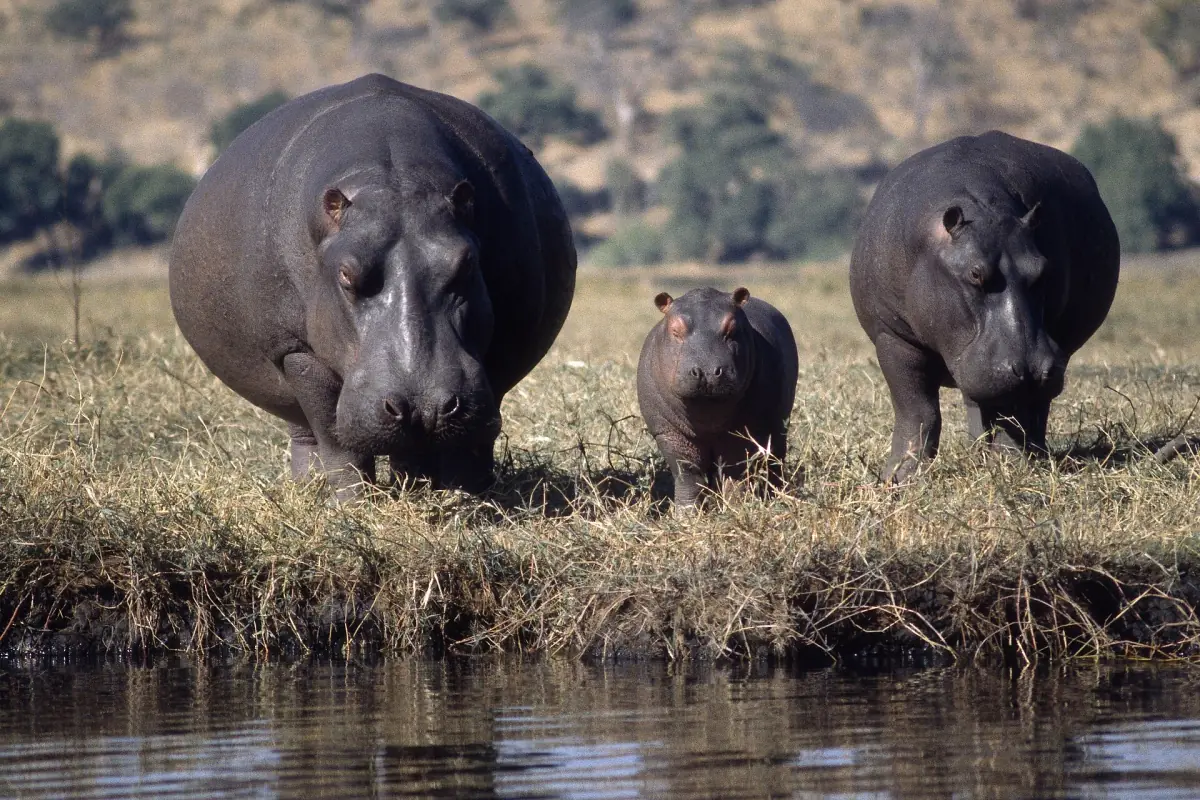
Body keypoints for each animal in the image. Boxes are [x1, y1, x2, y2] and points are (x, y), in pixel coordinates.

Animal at [169, 74, 576, 496]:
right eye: (346, 275)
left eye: (466, 263)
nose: (423, 406)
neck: (392, 184)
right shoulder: (296, 351)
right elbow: (335, 437)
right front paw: (353, 502)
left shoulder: (502, 344)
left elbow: (475, 438)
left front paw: (468, 495)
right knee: (307, 434)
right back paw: (310, 490)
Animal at [637, 287, 799, 509]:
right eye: (675, 329)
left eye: (732, 328)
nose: (706, 371)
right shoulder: (669, 432)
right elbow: (687, 474)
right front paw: (687, 513)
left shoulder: (742, 431)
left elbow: (734, 471)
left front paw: (735, 508)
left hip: (778, 426)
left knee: (775, 459)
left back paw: (777, 497)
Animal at [849, 130, 1120, 481]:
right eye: (975, 273)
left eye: (1043, 269)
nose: (1031, 368)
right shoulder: (893, 336)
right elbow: (917, 409)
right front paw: (900, 476)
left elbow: (1010, 416)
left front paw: (1009, 466)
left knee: (1029, 410)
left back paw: (1029, 455)